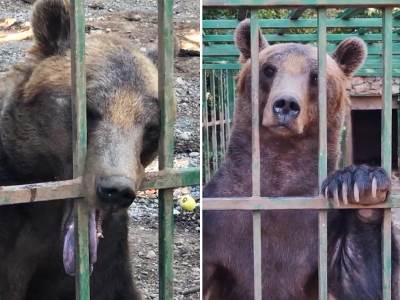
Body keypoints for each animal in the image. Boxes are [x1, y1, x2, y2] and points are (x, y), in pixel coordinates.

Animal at [205, 19, 398, 300]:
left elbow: (363, 278)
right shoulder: (222, 220)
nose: (285, 104)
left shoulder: (324, 228)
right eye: (269, 69)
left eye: (316, 76)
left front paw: (361, 182)